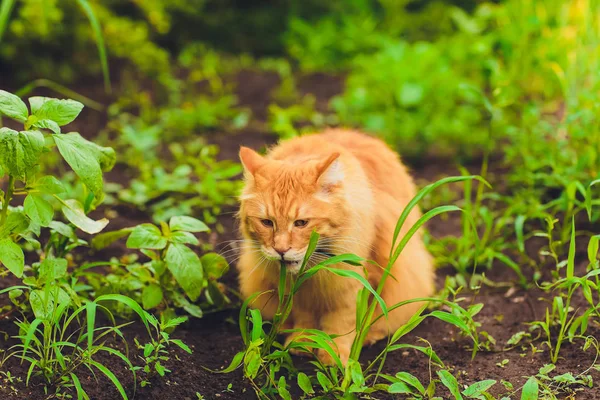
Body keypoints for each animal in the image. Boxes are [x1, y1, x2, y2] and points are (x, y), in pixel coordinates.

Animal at [237, 129, 434, 366]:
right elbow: (305, 318)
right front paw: (303, 343)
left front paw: (334, 355)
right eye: (267, 222)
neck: (315, 270)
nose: (281, 250)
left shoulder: (353, 284)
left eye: (301, 223)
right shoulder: (301, 294)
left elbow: (341, 323)